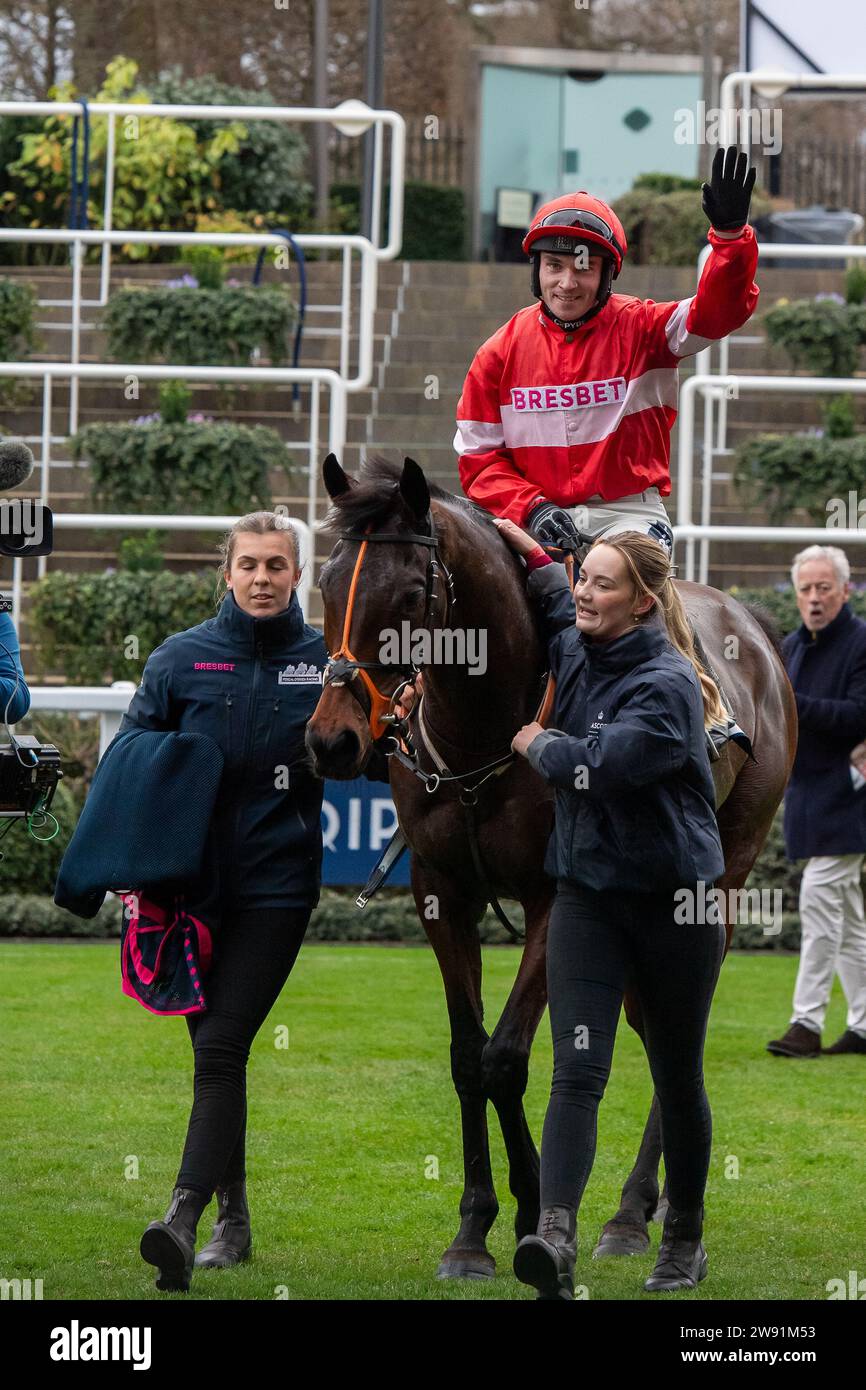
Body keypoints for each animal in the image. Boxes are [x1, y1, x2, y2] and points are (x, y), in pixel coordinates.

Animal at [307, 455, 800, 1278]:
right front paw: (473, 1229)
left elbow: (505, 1057)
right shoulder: (441, 894)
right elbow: (467, 1056)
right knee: (651, 1026)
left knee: (678, 1033)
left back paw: (633, 1215)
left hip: (721, 877)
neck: (483, 732)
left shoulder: (555, 896)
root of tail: (751, 622)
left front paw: (531, 1208)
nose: (333, 740)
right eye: (323, 580)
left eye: (408, 594)